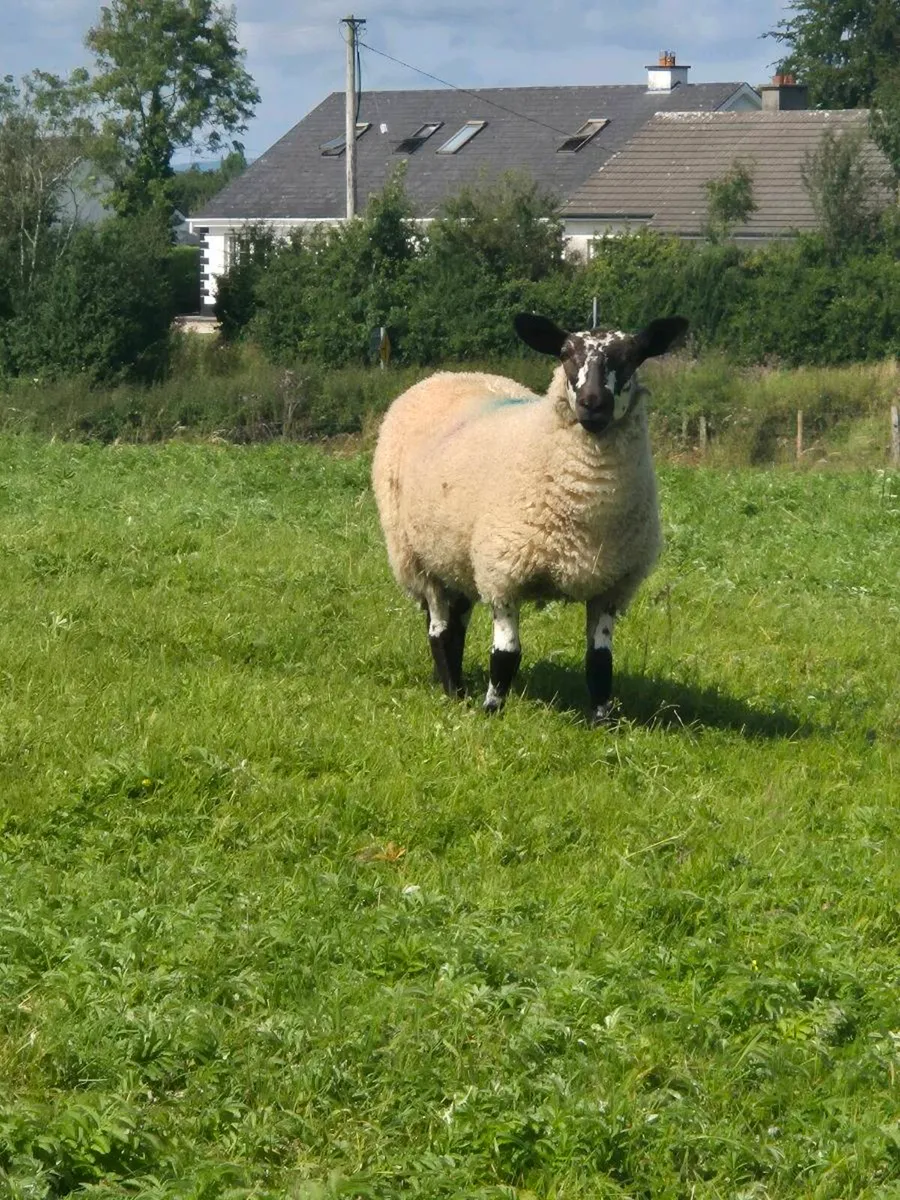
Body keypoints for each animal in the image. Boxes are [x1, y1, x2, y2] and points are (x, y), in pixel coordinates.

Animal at [371, 311, 688, 724]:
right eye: (565, 354)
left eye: (631, 357)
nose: (593, 403)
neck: (590, 502)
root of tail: (449, 373)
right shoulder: (503, 572)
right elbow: (506, 655)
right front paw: (492, 710)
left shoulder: (611, 585)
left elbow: (600, 661)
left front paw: (603, 721)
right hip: (417, 558)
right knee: (439, 628)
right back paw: (455, 693)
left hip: (457, 556)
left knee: (455, 623)